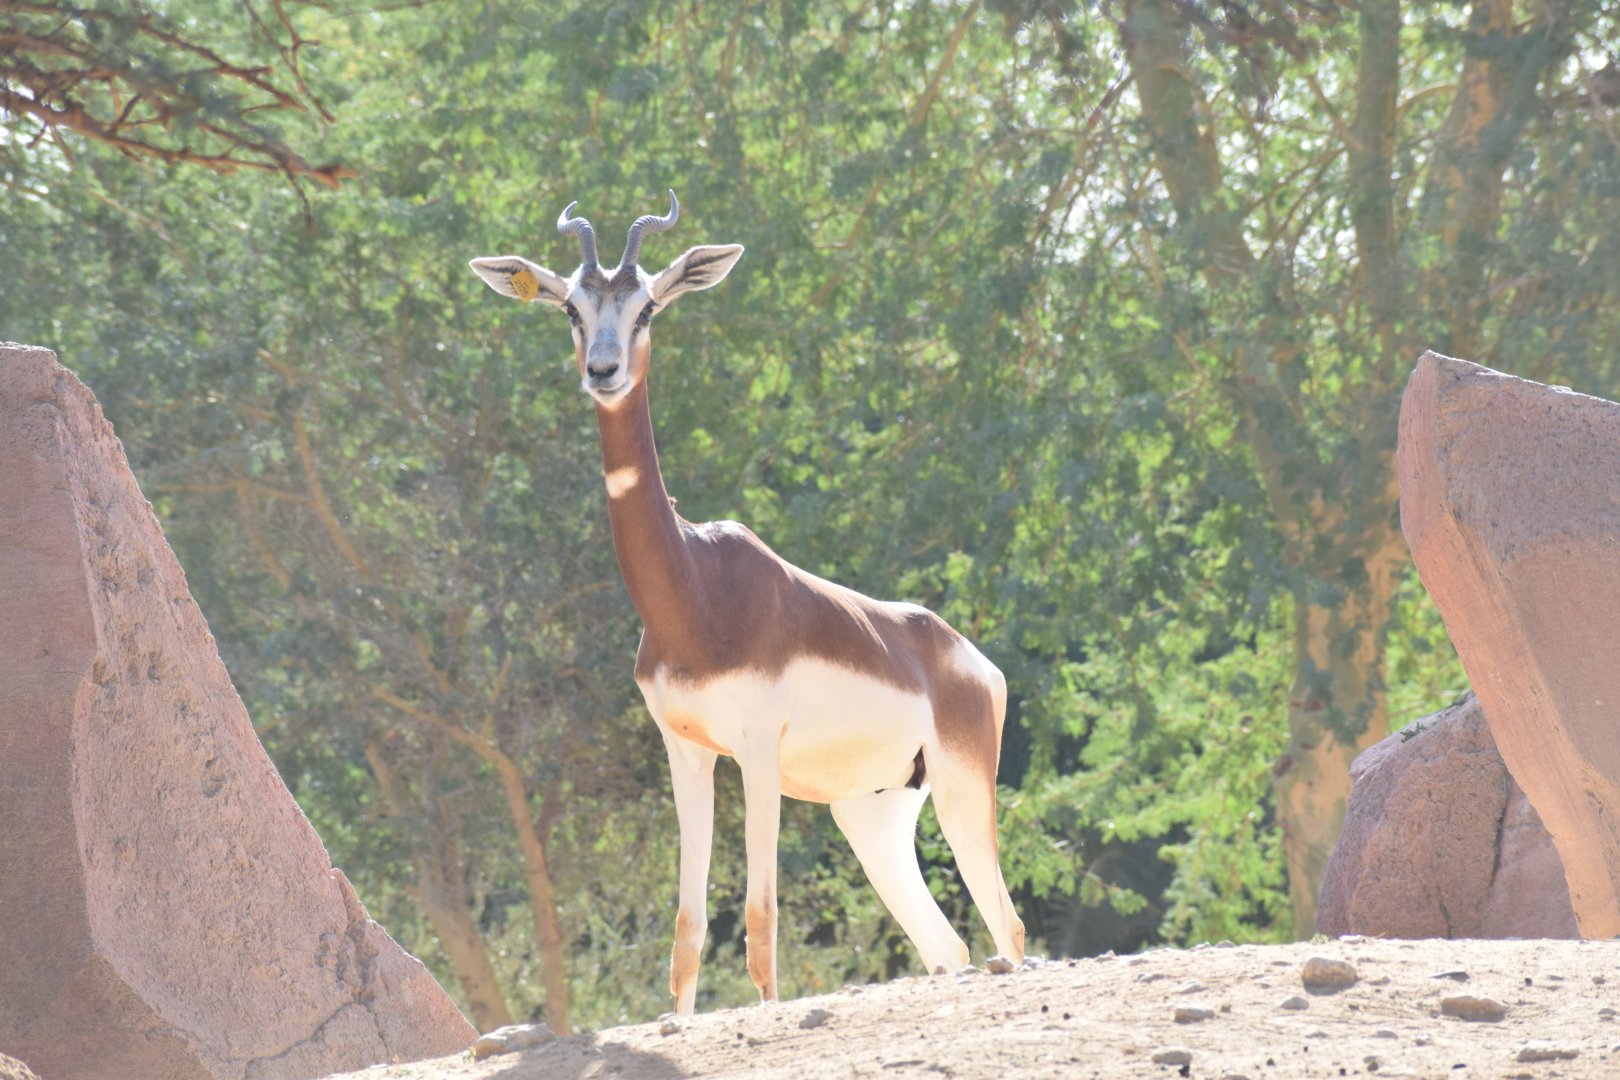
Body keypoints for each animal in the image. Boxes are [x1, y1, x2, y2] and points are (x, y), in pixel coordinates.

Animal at [469, 191, 1025, 1014]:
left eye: (647, 308)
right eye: (572, 306)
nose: (603, 370)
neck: (695, 591)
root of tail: (973, 661)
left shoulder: (758, 752)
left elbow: (761, 928)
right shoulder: (689, 752)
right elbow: (687, 932)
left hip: (961, 793)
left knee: (1007, 926)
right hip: (871, 815)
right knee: (948, 945)